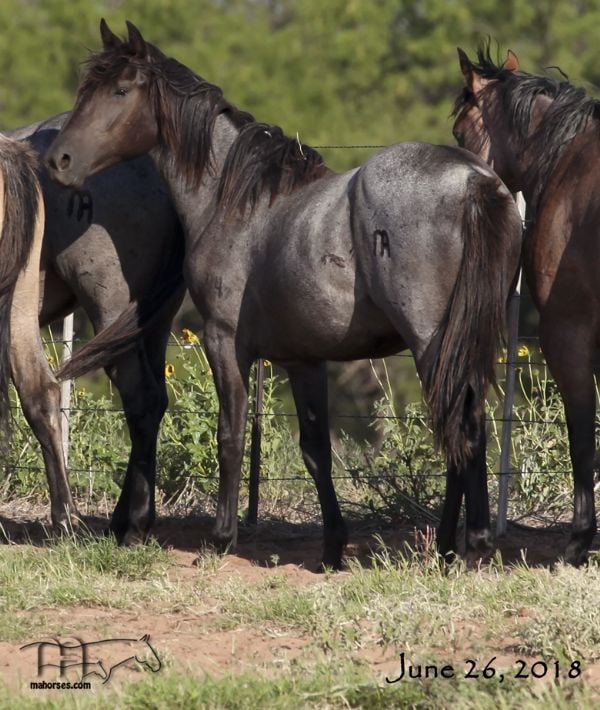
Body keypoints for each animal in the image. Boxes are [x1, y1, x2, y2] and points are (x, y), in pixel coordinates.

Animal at [47, 19, 524, 572]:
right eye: (87, 88)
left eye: (120, 91)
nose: (58, 160)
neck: (237, 202)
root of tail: (473, 180)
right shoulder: (305, 360)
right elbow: (316, 451)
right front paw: (332, 546)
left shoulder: (223, 342)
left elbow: (230, 436)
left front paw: (221, 537)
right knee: (467, 427)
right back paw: (453, 543)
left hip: (433, 344)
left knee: (461, 428)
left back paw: (468, 545)